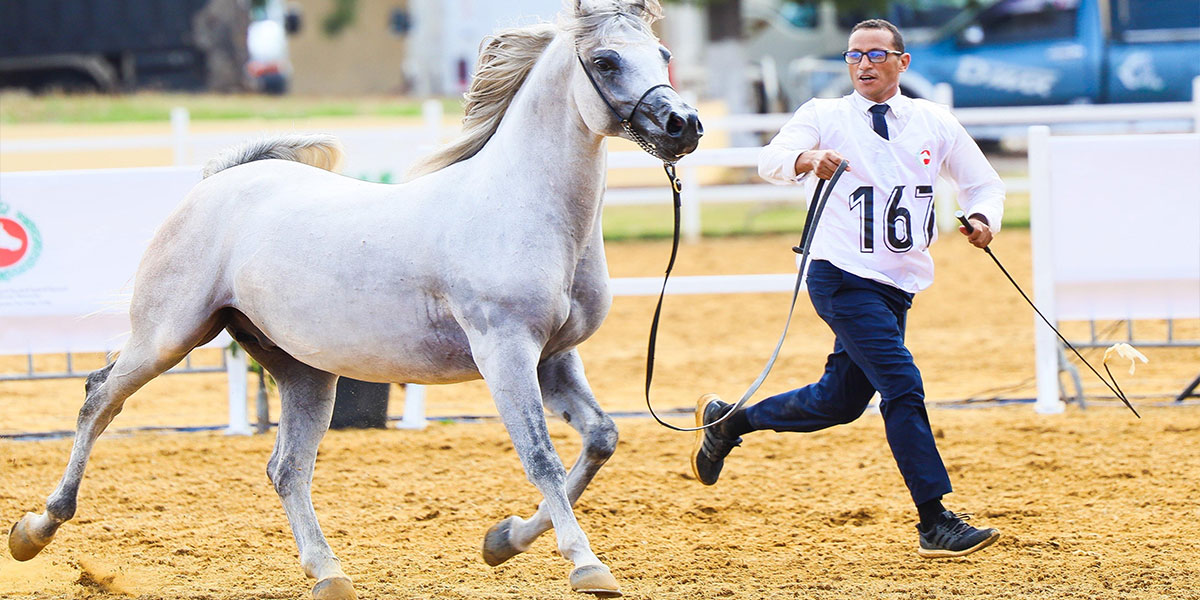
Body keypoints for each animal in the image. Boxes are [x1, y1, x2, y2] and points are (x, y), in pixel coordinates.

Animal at [7, 1, 701, 598]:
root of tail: (221, 182)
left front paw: (502, 541)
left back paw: (328, 573)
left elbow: (601, 438)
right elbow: (542, 457)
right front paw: (586, 565)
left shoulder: (554, 357)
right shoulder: (505, 352)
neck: (523, 206)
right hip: (167, 335)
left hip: (302, 371)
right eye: (606, 60)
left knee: (286, 469)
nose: (684, 126)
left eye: (663, 52)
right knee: (98, 399)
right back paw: (33, 531)